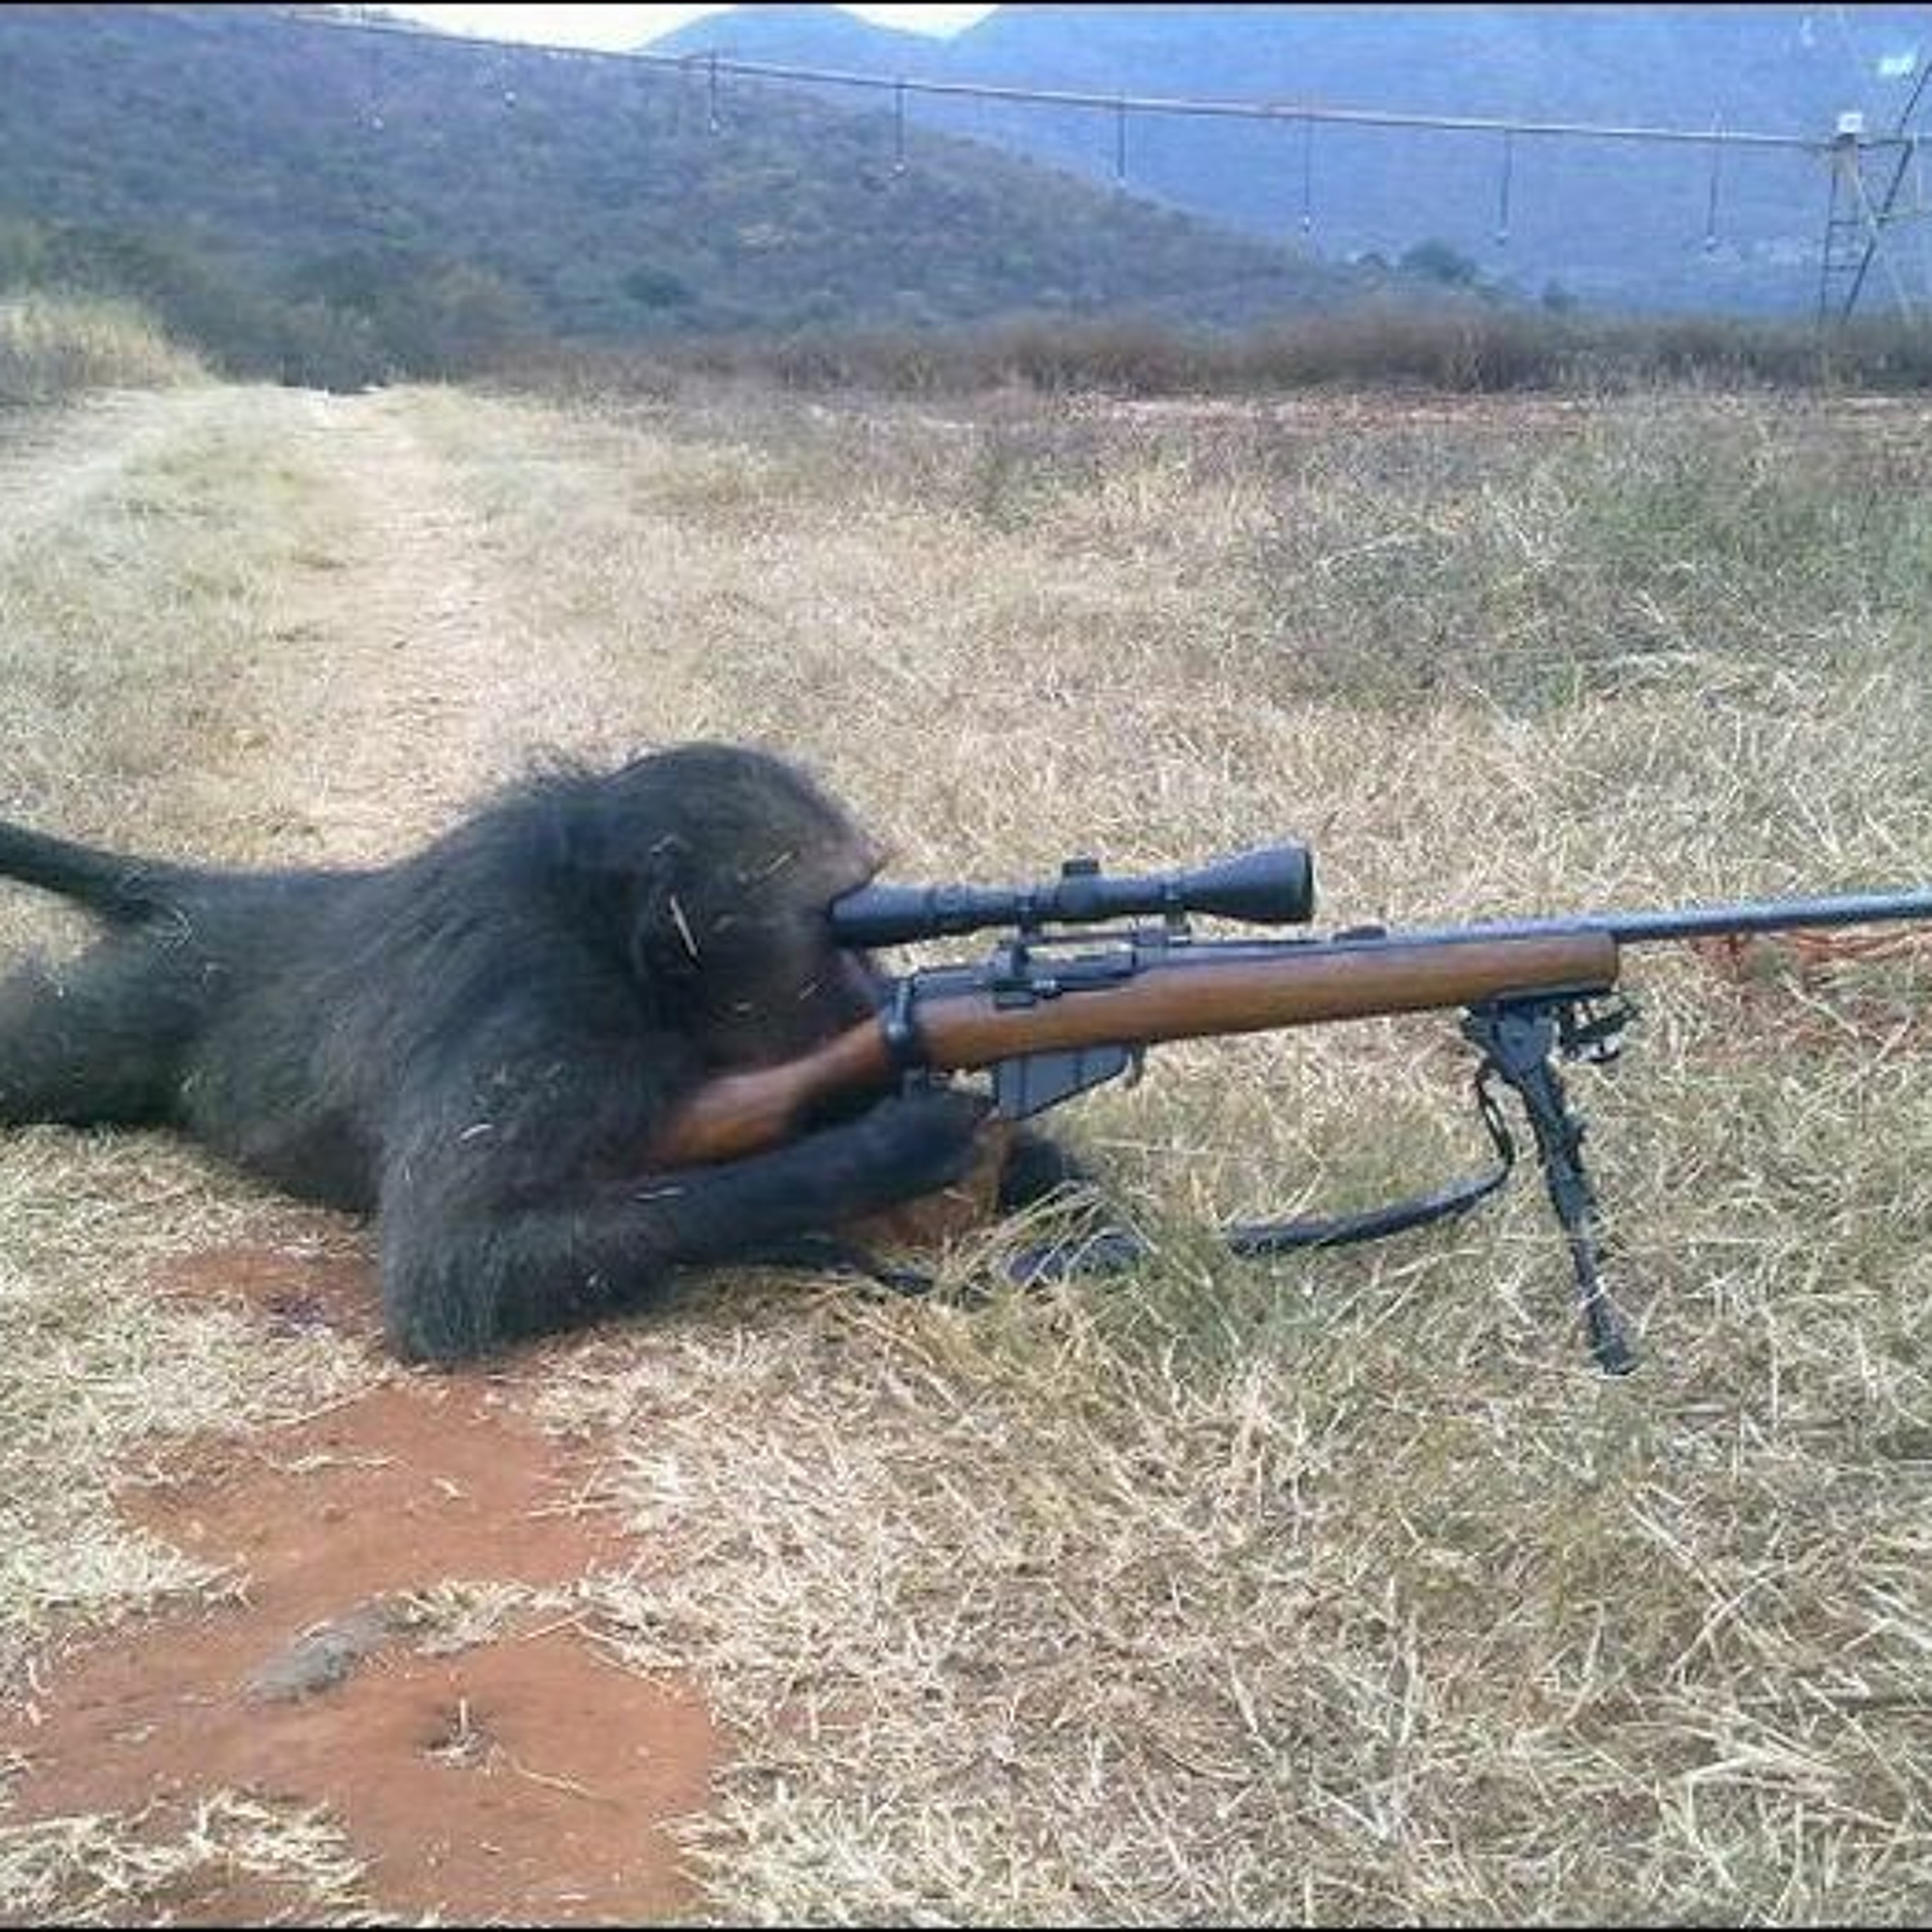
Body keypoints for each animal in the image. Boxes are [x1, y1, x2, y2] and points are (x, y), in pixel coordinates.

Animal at [0, 744, 1089, 1364]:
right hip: (145, 997)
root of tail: (226, 898)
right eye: (840, 922)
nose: (886, 999)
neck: (622, 954)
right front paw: (892, 1151)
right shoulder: (543, 1017)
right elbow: (452, 1267)